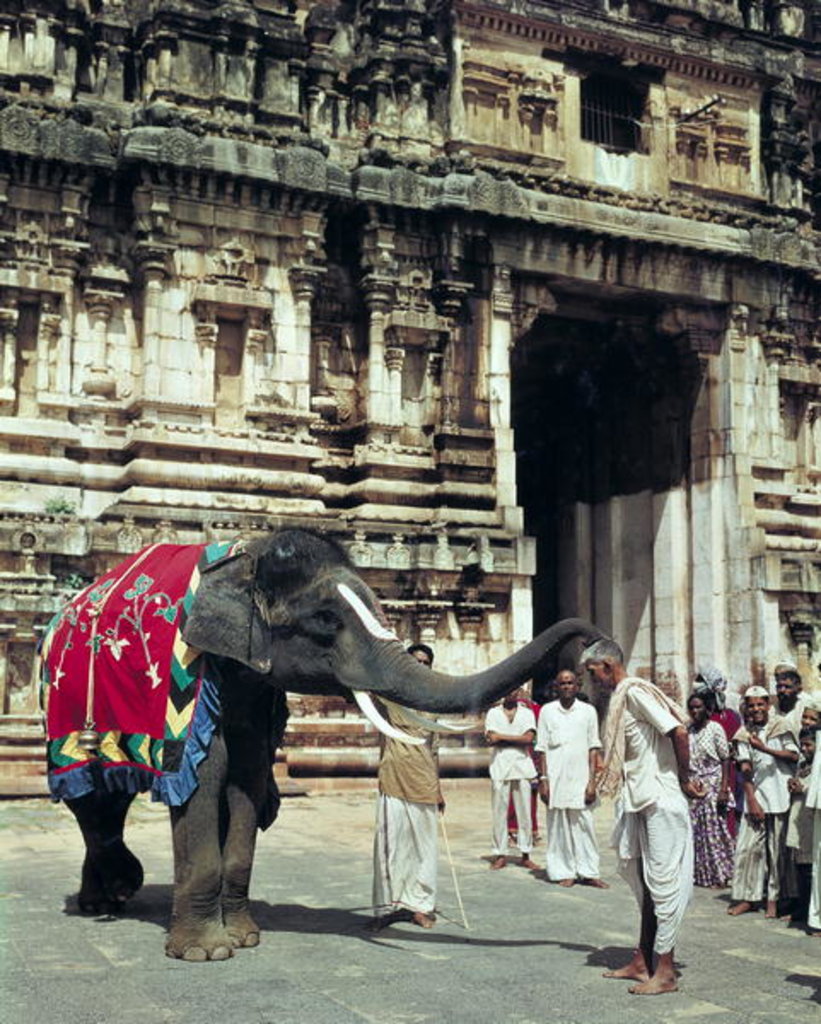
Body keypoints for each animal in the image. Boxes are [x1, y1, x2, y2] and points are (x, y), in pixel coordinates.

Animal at [40, 528, 603, 961]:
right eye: (325, 623)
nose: (598, 645)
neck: (245, 558)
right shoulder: (194, 686)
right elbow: (204, 776)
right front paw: (205, 953)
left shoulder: (252, 687)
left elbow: (245, 782)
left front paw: (246, 940)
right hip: (60, 710)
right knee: (93, 799)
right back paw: (107, 899)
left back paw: (116, 893)